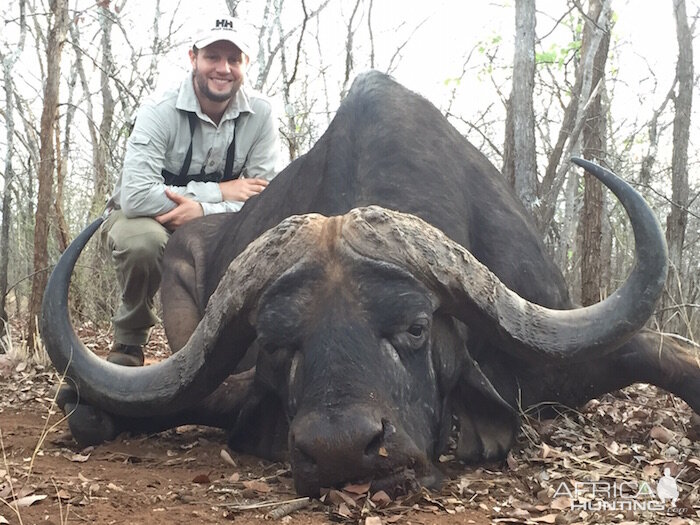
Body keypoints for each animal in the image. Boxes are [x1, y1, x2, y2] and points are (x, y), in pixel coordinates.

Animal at [41, 70, 696, 496]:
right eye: (277, 342)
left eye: (415, 327)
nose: (341, 448)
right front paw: (86, 408)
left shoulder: (554, 359)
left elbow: (666, 354)